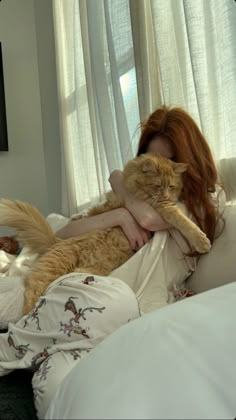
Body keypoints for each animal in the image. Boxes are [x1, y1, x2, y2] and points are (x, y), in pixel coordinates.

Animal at [0, 153, 211, 314]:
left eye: (172, 186)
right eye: (158, 186)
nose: (167, 195)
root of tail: (56, 241)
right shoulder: (160, 206)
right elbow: (183, 221)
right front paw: (202, 241)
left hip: (89, 269)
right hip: (52, 268)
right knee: (31, 294)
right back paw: (27, 317)